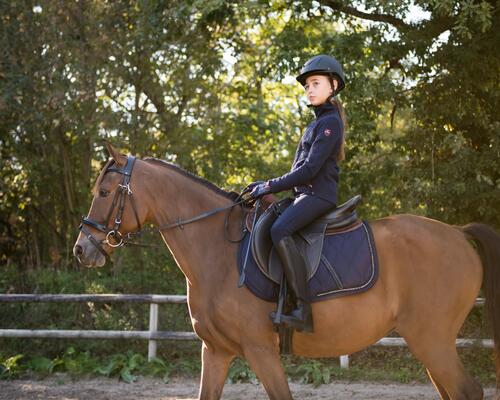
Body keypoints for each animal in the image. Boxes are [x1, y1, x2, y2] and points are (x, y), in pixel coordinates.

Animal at [73, 144, 500, 400]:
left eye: (105, 193)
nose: (82, 249)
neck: (217, 253)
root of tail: (457, 232)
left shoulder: (260, 350)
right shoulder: (216, 350)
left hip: (432, 339)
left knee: (467, 391)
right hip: (427, 342)